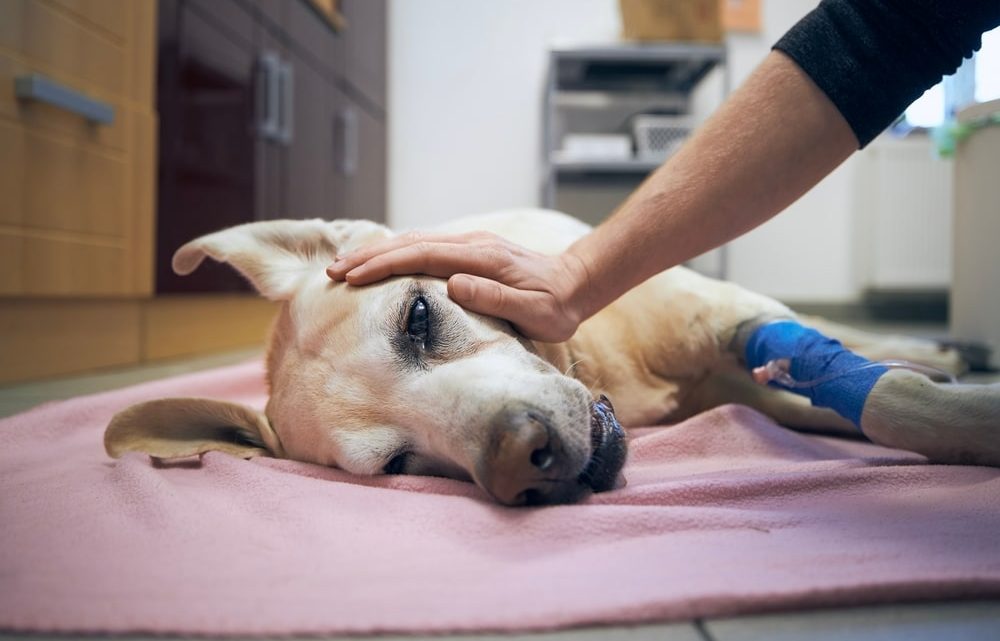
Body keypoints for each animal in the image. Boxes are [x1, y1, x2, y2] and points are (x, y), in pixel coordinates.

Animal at [103, 210, 1000, 504]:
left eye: (419, 317)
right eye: (398, 463)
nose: (519, 459)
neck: (601, 369)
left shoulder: (729, 317)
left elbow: (892, 399)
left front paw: (965, 407)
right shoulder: (753, 383)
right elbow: (871, 402)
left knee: (845, 337)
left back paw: (939, 344)